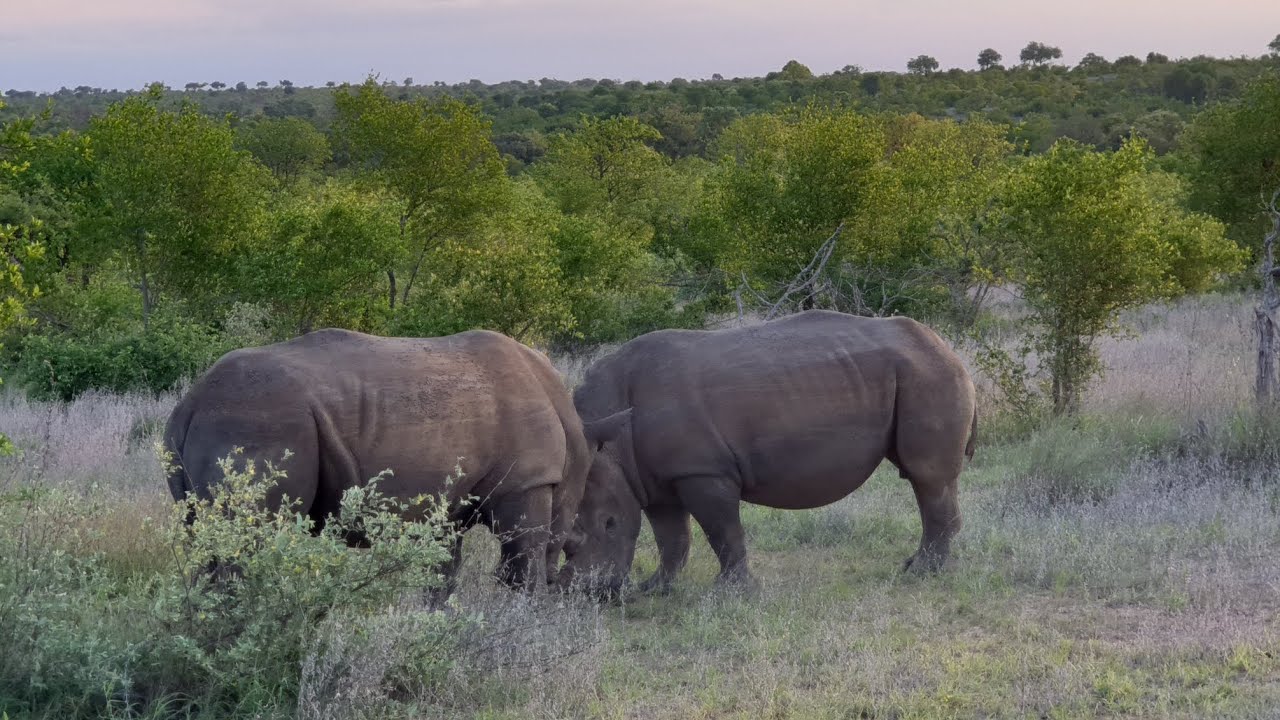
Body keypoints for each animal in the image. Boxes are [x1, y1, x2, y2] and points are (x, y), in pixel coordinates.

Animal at [163, 328, 626, 593]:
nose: (560, 576)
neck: (575, 434)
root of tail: (189, 404)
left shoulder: (449, 503)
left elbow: (444, 575)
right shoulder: (530, 482)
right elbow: (521, 567)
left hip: (222, 427)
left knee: (206, 545)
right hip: (261, 422)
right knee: (245, 547)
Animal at [559, 310, 977, 596]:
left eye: (609, 523)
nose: (591, 591)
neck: (613, 439)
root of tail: (946, 346)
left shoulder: (703, 470)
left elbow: (723, 531)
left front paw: (730, 592)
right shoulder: (655, 477)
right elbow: (672, 537)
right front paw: (656, 587)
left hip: (928, 375)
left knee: (926, 476)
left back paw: (922, 573)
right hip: (918, 373)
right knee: (922, 476)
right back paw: (917, 566)